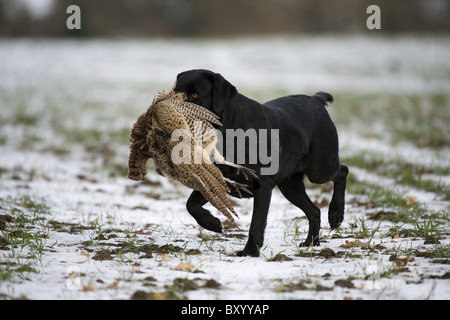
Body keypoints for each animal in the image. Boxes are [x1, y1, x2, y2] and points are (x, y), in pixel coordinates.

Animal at [173, 69, 348, 256]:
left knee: (342, 171)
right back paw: (311, 242)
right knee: (314, 211)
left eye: (194, 95)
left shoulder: (262, 185)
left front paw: (250, 251)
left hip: (320, 168)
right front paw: (212, 223)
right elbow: (191, 204)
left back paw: (336, 215)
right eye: (174, 91)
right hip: (290, 186)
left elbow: (256, 222)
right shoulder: (215, 178)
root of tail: (316, 99)